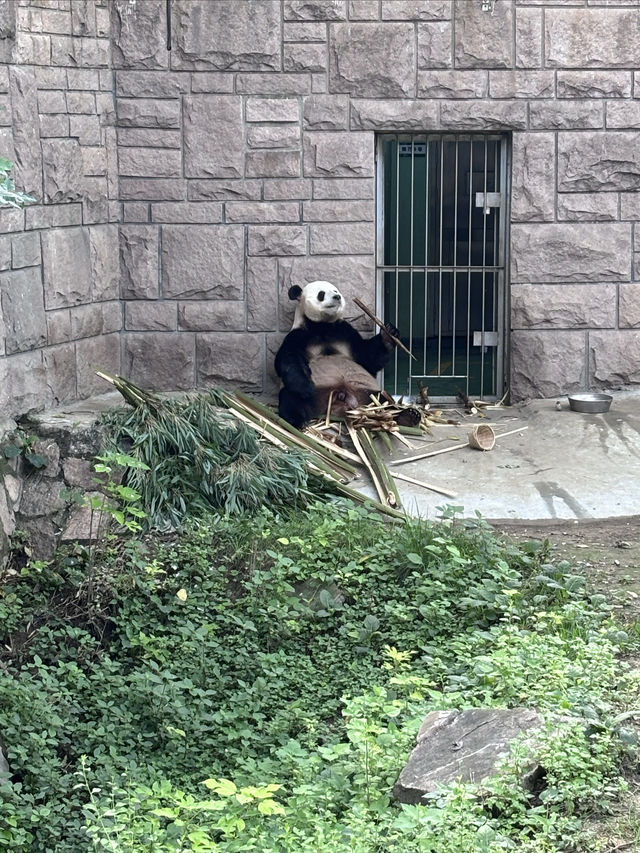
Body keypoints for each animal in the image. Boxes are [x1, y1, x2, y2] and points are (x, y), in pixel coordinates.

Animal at [274, 278, 398, 426]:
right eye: (321, 294)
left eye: (335, 290)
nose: (337, 297)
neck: (322, 326)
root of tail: (341, 397)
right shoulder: (298, 336)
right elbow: (288, 360)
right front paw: (306, 388)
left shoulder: (344, 332)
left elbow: (367, 357)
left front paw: (389, 333)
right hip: (317, 395)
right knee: (290, 399)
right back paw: (296, 421)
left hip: (367, 393)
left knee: (384, 399)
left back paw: (407, 415)